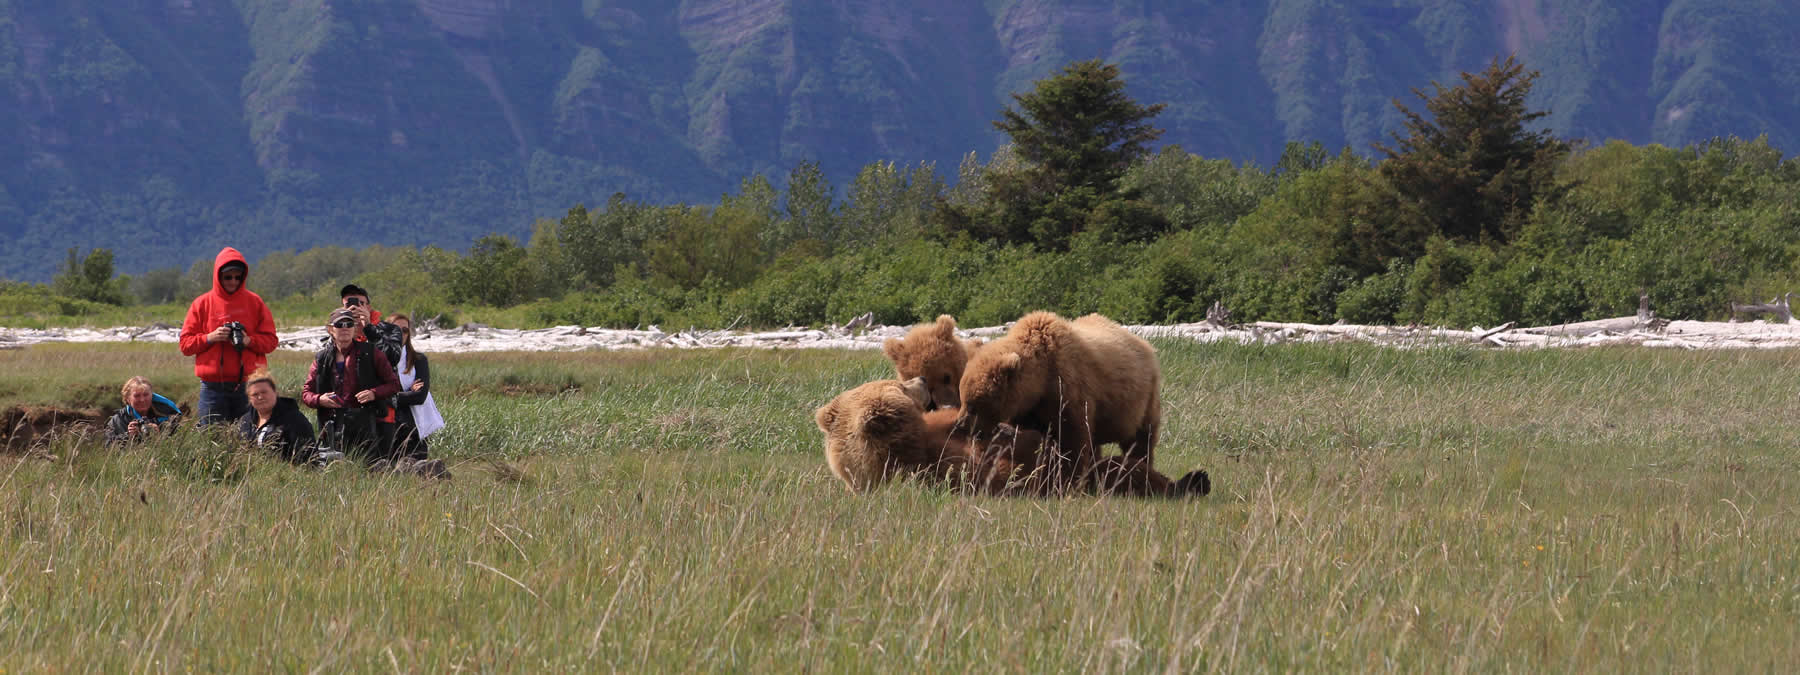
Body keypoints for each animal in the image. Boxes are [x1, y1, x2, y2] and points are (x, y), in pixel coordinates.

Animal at [958, 311, 1162, 488]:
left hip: (1142, 400)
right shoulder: (1030, 409)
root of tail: (1146, 345)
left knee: (1141, 439)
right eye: (964, 399)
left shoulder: (1069, 390)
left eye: (973, 404)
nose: (960, 425)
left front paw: (1068, 480)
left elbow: (1074, 441)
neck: (1040, 380)